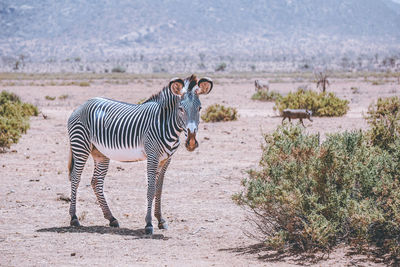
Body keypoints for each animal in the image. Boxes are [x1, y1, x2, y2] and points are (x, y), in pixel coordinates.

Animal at [67, 75, 214, 234]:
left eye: (200, 108)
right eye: (181, 109)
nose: (191, 142)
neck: (165, 124)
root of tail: (82, 104)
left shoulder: (166, 160)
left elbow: (159, 189)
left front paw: (161, 220)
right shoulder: (152, 157)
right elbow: (151, 189)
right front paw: (149, 224)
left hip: (100, 153)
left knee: (96, 182)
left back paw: (111, 218)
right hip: (81, 146)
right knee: (75, 178)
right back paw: (74, 218)